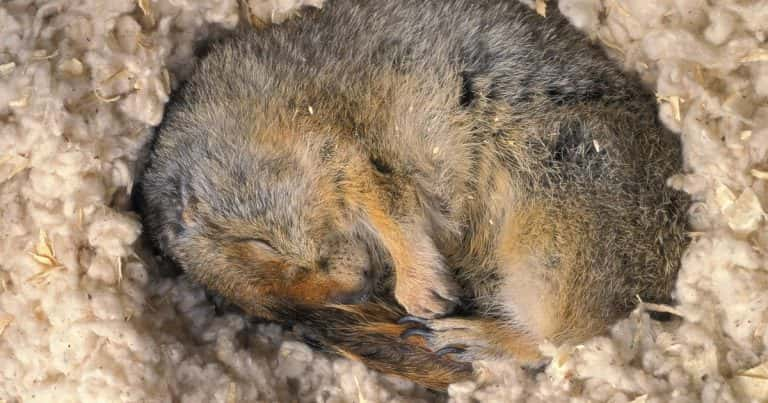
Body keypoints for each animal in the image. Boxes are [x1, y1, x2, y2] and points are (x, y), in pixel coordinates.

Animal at [134, 0, 688, 392]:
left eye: (258, 243)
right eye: (270, 308)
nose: (359, 285)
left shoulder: (335, 147)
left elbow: (386, 201)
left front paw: (423, 291)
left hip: (555, 237)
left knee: (552, 341)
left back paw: (460, 336)